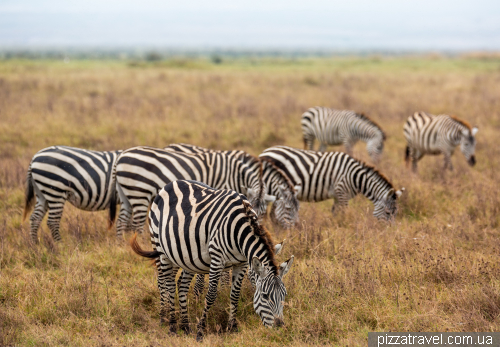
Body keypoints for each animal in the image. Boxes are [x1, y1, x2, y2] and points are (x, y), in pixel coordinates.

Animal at [108, 145, 278, 238]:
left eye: (262, 213)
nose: (255, 232)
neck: (236, 174)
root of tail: (121, 156)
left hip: (126, 194)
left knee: (121, 220)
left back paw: (121, 244)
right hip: (139, 192)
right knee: (136, 224)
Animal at [130, 181, 292, 342]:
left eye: (284, 294)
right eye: (265, 296)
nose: (280, 328)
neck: (239, 229)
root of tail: (171, 183)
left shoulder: (241, 263)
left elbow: (235, 295)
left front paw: (232, 328)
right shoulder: (217, 258)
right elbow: (211, 295)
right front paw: (200, 332)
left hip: (185, 257)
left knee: (181, 286)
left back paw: (185, 326)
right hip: (161, 248)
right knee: (167, 284)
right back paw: (170, 325)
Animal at [260, 146, 404, 220]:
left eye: (396, 213)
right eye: (388, 213)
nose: (388, 233)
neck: (356, 177)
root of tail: (264, 152)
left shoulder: (337, 195)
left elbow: (335, 212)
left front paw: (335, 227)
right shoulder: (342, 192)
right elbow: (344, 213)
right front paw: (345, 227)